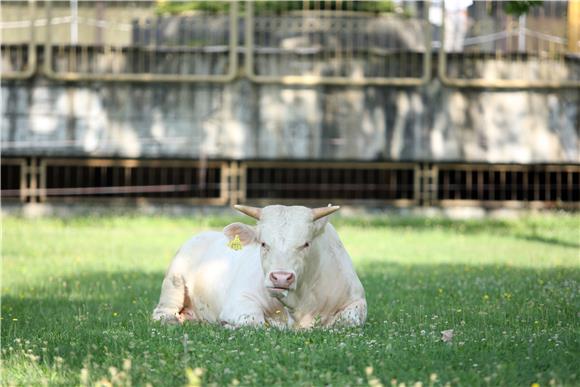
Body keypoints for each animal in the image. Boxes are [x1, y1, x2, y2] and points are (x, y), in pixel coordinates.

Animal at [151, 205, 368, 328]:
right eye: (263, 243)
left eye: (306, 244)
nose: (281, 277)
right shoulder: (238, 301)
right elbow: (254, 321)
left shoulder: (357, 300)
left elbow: (348, 320)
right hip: (174, 281)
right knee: (162, 312)